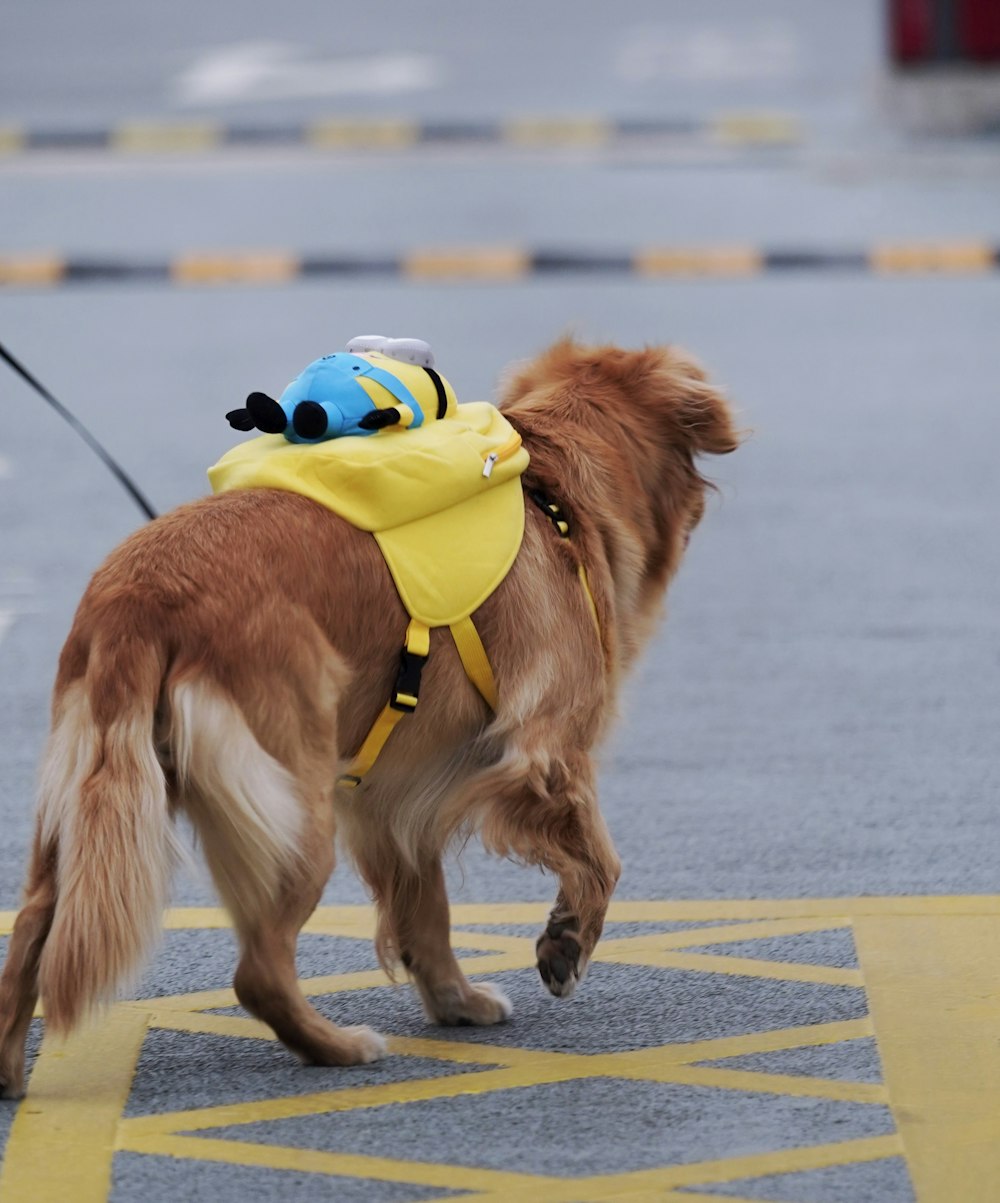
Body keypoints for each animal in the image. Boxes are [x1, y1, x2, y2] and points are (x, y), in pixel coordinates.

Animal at [0, 336, 736, 1092]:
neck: (551, 492)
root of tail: (139, 595)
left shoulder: (392, 795)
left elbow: (427, 909)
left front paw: (455, 1000)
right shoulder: (546, 751)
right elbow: (601, 859)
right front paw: (566, 942)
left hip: (92, 801)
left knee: (30, 930)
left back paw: (8, 1074)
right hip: (296, 812)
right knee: (257, 970)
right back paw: (338, 1046)